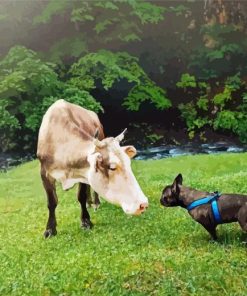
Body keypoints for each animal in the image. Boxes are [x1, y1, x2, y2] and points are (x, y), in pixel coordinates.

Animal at [36, 99, 149, 238]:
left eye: (128, 163)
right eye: (112, 167)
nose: (143, 204)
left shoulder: (82, 173)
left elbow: (81, 196)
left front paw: (85, 221)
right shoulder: (44, 173)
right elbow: (52, 202)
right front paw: (50, 229)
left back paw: (95, 202)